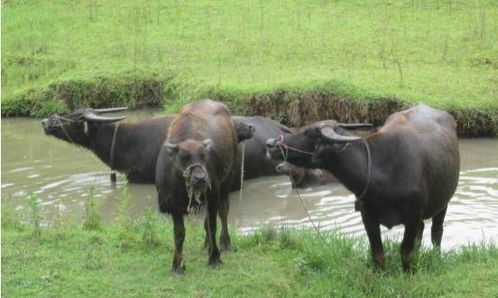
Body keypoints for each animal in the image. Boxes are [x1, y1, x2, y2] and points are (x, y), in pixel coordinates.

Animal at [157, 100, 240, 274]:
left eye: (203, 156)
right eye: (184, 157)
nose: (201, 178)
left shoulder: (213, 195)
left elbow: (213, 225)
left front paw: (214, 258)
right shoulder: (173, 204)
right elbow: (179, 233)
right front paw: (177, 265)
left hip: (227, 180)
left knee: (223, 211)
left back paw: (224, 243)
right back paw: (207, 245)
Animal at [266, 105, 462, 272]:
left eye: (308, 133)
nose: (270, 143)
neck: (381, 170)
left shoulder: (412, 217)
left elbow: (406, 252)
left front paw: (409, 274)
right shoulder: (368, 217)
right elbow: (378, 254)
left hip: (443, 204)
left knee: (436, 232)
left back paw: (436, 257)